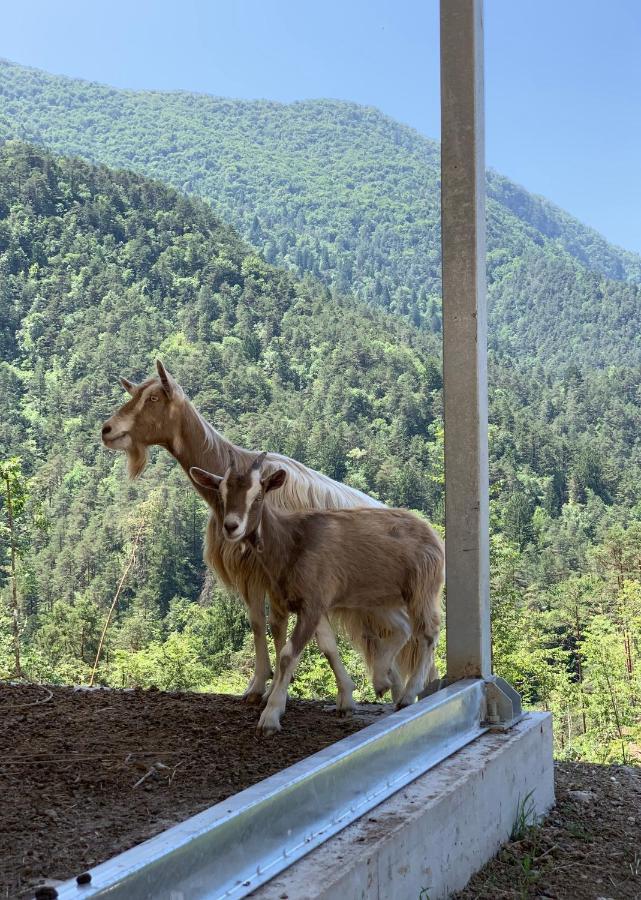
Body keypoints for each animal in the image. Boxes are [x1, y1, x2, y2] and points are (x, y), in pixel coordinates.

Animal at [188, 454, 442, 736]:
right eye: (221, 494)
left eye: (258, 496)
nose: (231, 527)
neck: (290, 543)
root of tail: (430, 532)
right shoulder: (302, 603)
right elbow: (326, 646)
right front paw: (345, 699)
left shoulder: (313, 603)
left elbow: (288, 654)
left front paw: (270, 716)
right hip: (379, 599)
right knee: (402, 628)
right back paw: (381, 680)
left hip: (421, 588)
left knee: (427, 632)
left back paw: (407, 694)